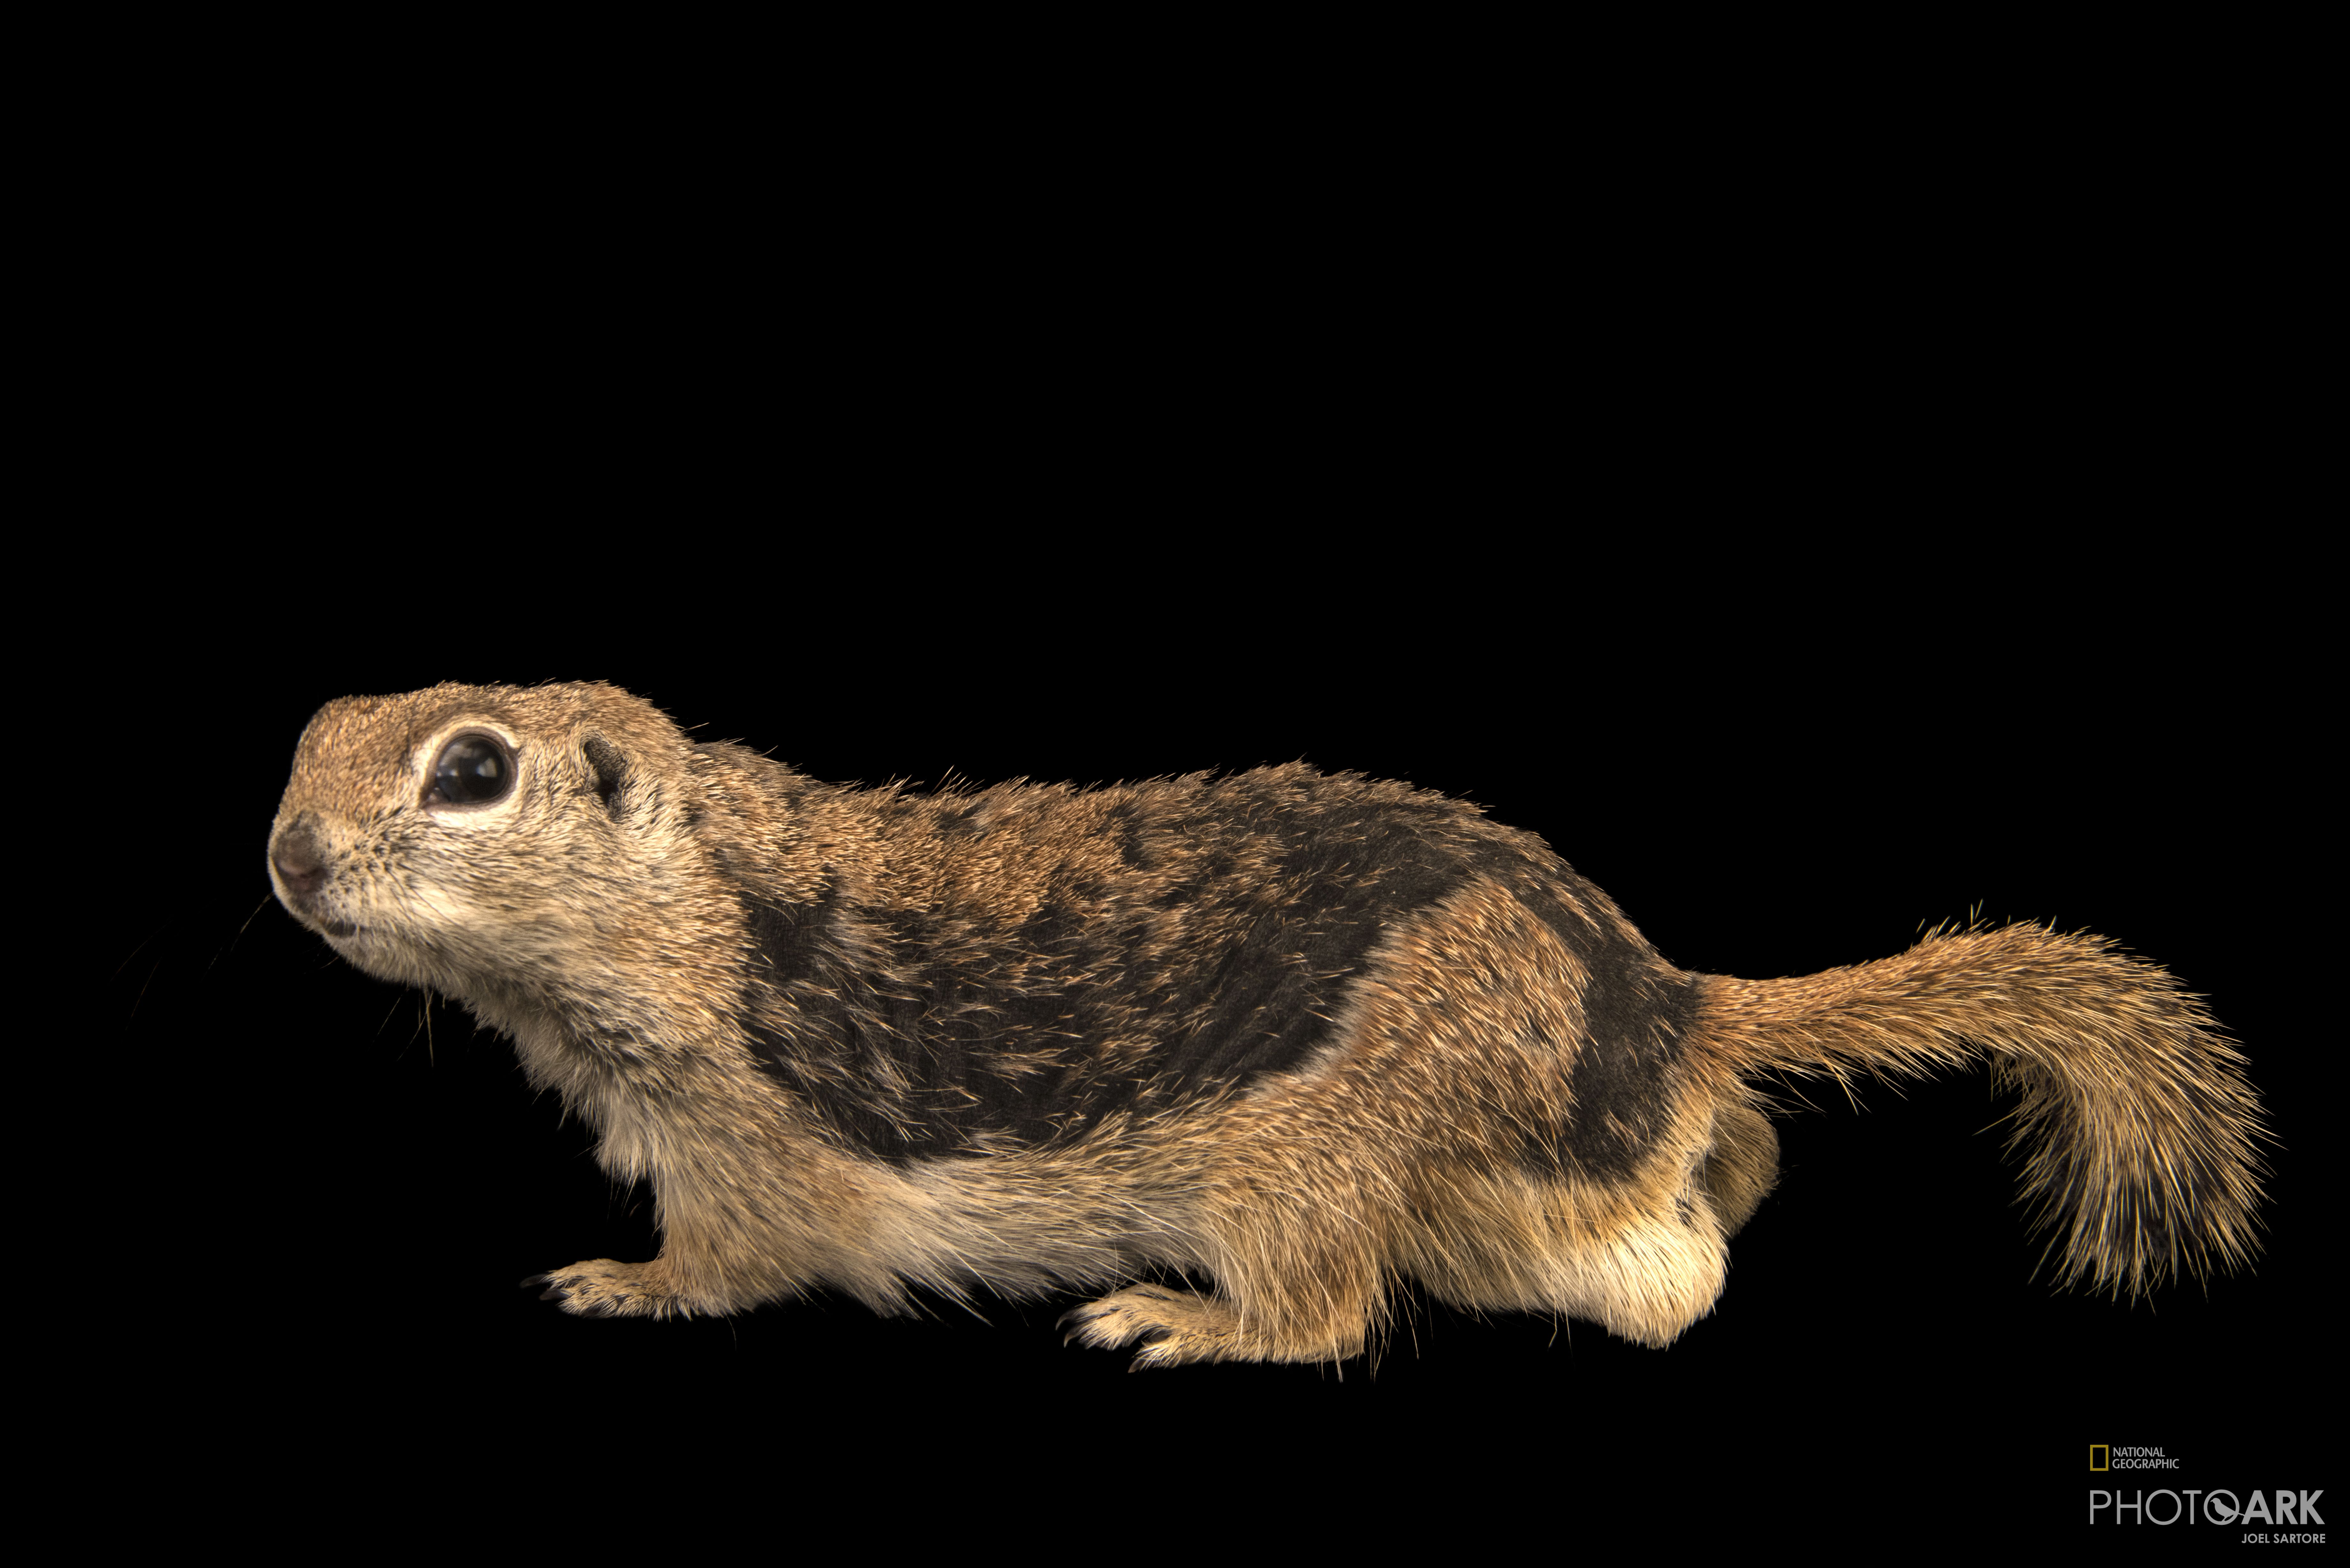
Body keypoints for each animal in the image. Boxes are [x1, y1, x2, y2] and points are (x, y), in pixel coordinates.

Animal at [267, 681, 2269, 1367]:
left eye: (470, 768)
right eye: (312, 728)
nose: (284, 852)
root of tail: (1662, 994)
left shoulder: (742, 1146)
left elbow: (723, 1255)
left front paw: (608, 1280)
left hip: (1303, 1161)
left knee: (1351, 1312)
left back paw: (1172, 1317)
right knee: (1714, 1195)